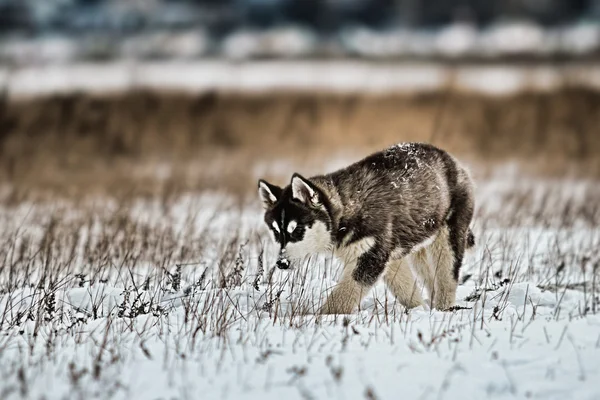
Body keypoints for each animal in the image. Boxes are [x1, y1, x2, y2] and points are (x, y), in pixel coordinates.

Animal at [258, 142, 474, 314]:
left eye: (297, 230)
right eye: (276, 232)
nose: (281, 263)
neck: (345, 210)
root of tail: (449, 158)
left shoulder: (370, 258)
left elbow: (342, 297)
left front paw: (320, 318)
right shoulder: (387, 257)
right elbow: (406, 290)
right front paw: (418, 310)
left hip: (447, 238)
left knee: (446, 277)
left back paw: (444, 308)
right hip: (418, 245)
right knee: (430, 278)